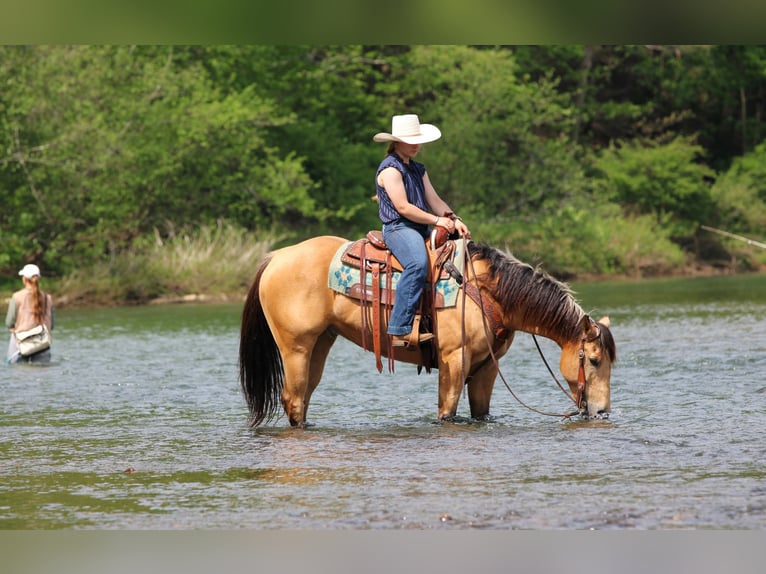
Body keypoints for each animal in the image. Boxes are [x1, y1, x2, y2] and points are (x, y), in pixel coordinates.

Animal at [238, 235, 616, 428]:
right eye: (593, 360)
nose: (601, 412)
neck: (486, 291)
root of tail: (275, 258)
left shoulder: (487, 368)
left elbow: (480, 413)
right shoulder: (454, 358)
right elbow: (447, 411)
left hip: (320, 342)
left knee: (302, 398)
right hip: (295, 347)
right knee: (293, 398)